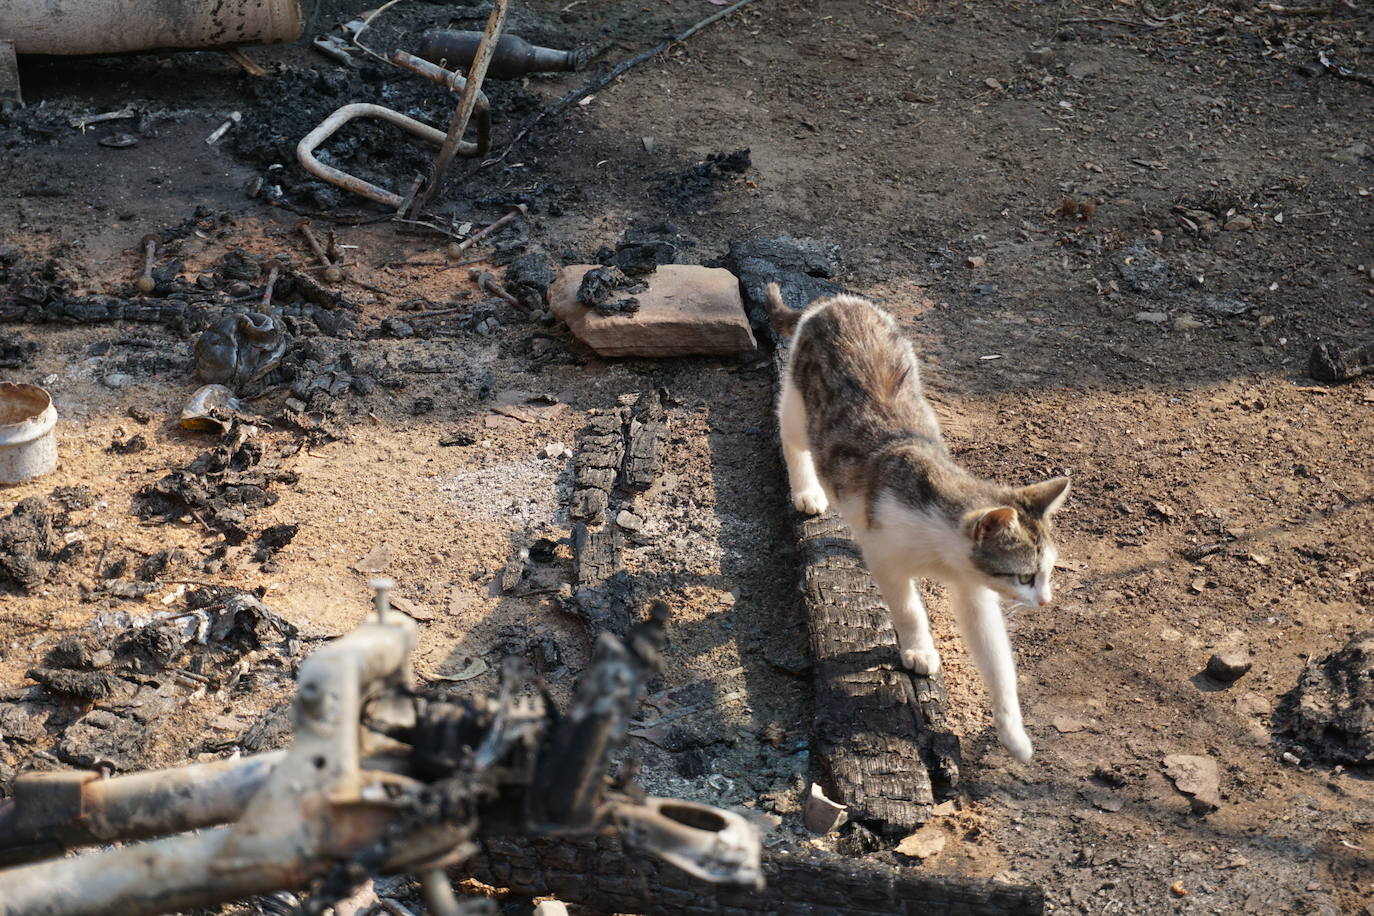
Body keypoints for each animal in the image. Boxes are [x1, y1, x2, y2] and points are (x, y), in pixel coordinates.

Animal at [769, 282, 1066, 763]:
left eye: (1046, 573)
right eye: (1025, 577)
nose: (1044, 601)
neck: (942, 553)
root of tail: (834, 301)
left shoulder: (973, 590)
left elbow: (997, 660)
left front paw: (1014, 733)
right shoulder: (886, 557)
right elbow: (908, 608)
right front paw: (919, 648)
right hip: (798, 406)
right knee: (791, 438)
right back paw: (807, 491)